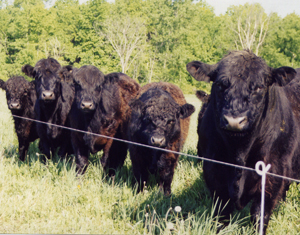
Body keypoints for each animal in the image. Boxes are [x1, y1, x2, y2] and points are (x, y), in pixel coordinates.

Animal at [186, 49, 300, 233]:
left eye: (259, 87)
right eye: (220, 84)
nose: (234, 121)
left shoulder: (273, 171)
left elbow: (260, 213)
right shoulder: (213, 169)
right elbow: (222, 212)